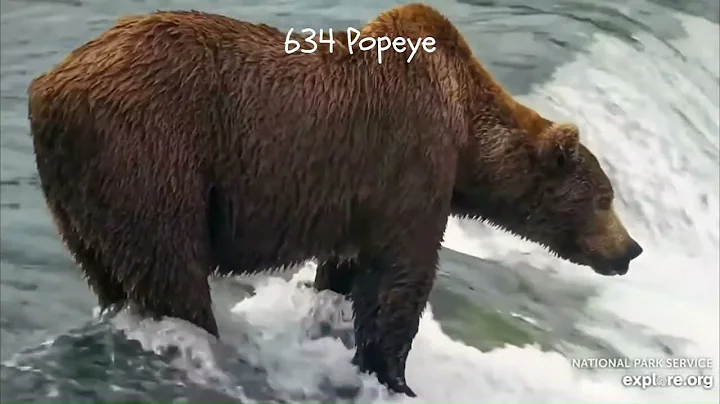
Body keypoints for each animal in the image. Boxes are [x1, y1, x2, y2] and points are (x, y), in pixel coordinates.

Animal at [27, 3, 643, 397]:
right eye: (605, 197)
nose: (631, 250)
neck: (466, 134)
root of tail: (47, 89)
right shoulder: (411, 164)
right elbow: (401, 280)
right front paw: (394, 375)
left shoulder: (361, 199)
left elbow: (347, 271)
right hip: (151, 153)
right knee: (172, 273)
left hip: (77, 196)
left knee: (109, 270)